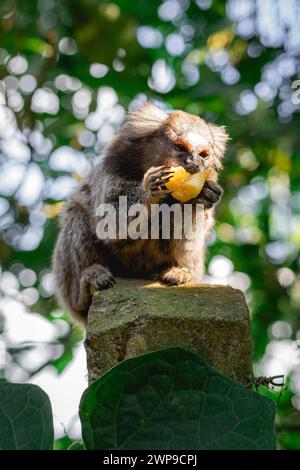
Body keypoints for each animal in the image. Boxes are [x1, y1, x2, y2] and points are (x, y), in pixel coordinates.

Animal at [52, 103, 229, 324]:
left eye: (203, 154)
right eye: (180, 147)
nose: (193, 164)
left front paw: (202, 196)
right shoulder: (113, 168)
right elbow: (109, 222)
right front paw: (148, 190)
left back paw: (179, 272)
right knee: (77, 217)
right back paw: (87, 284)